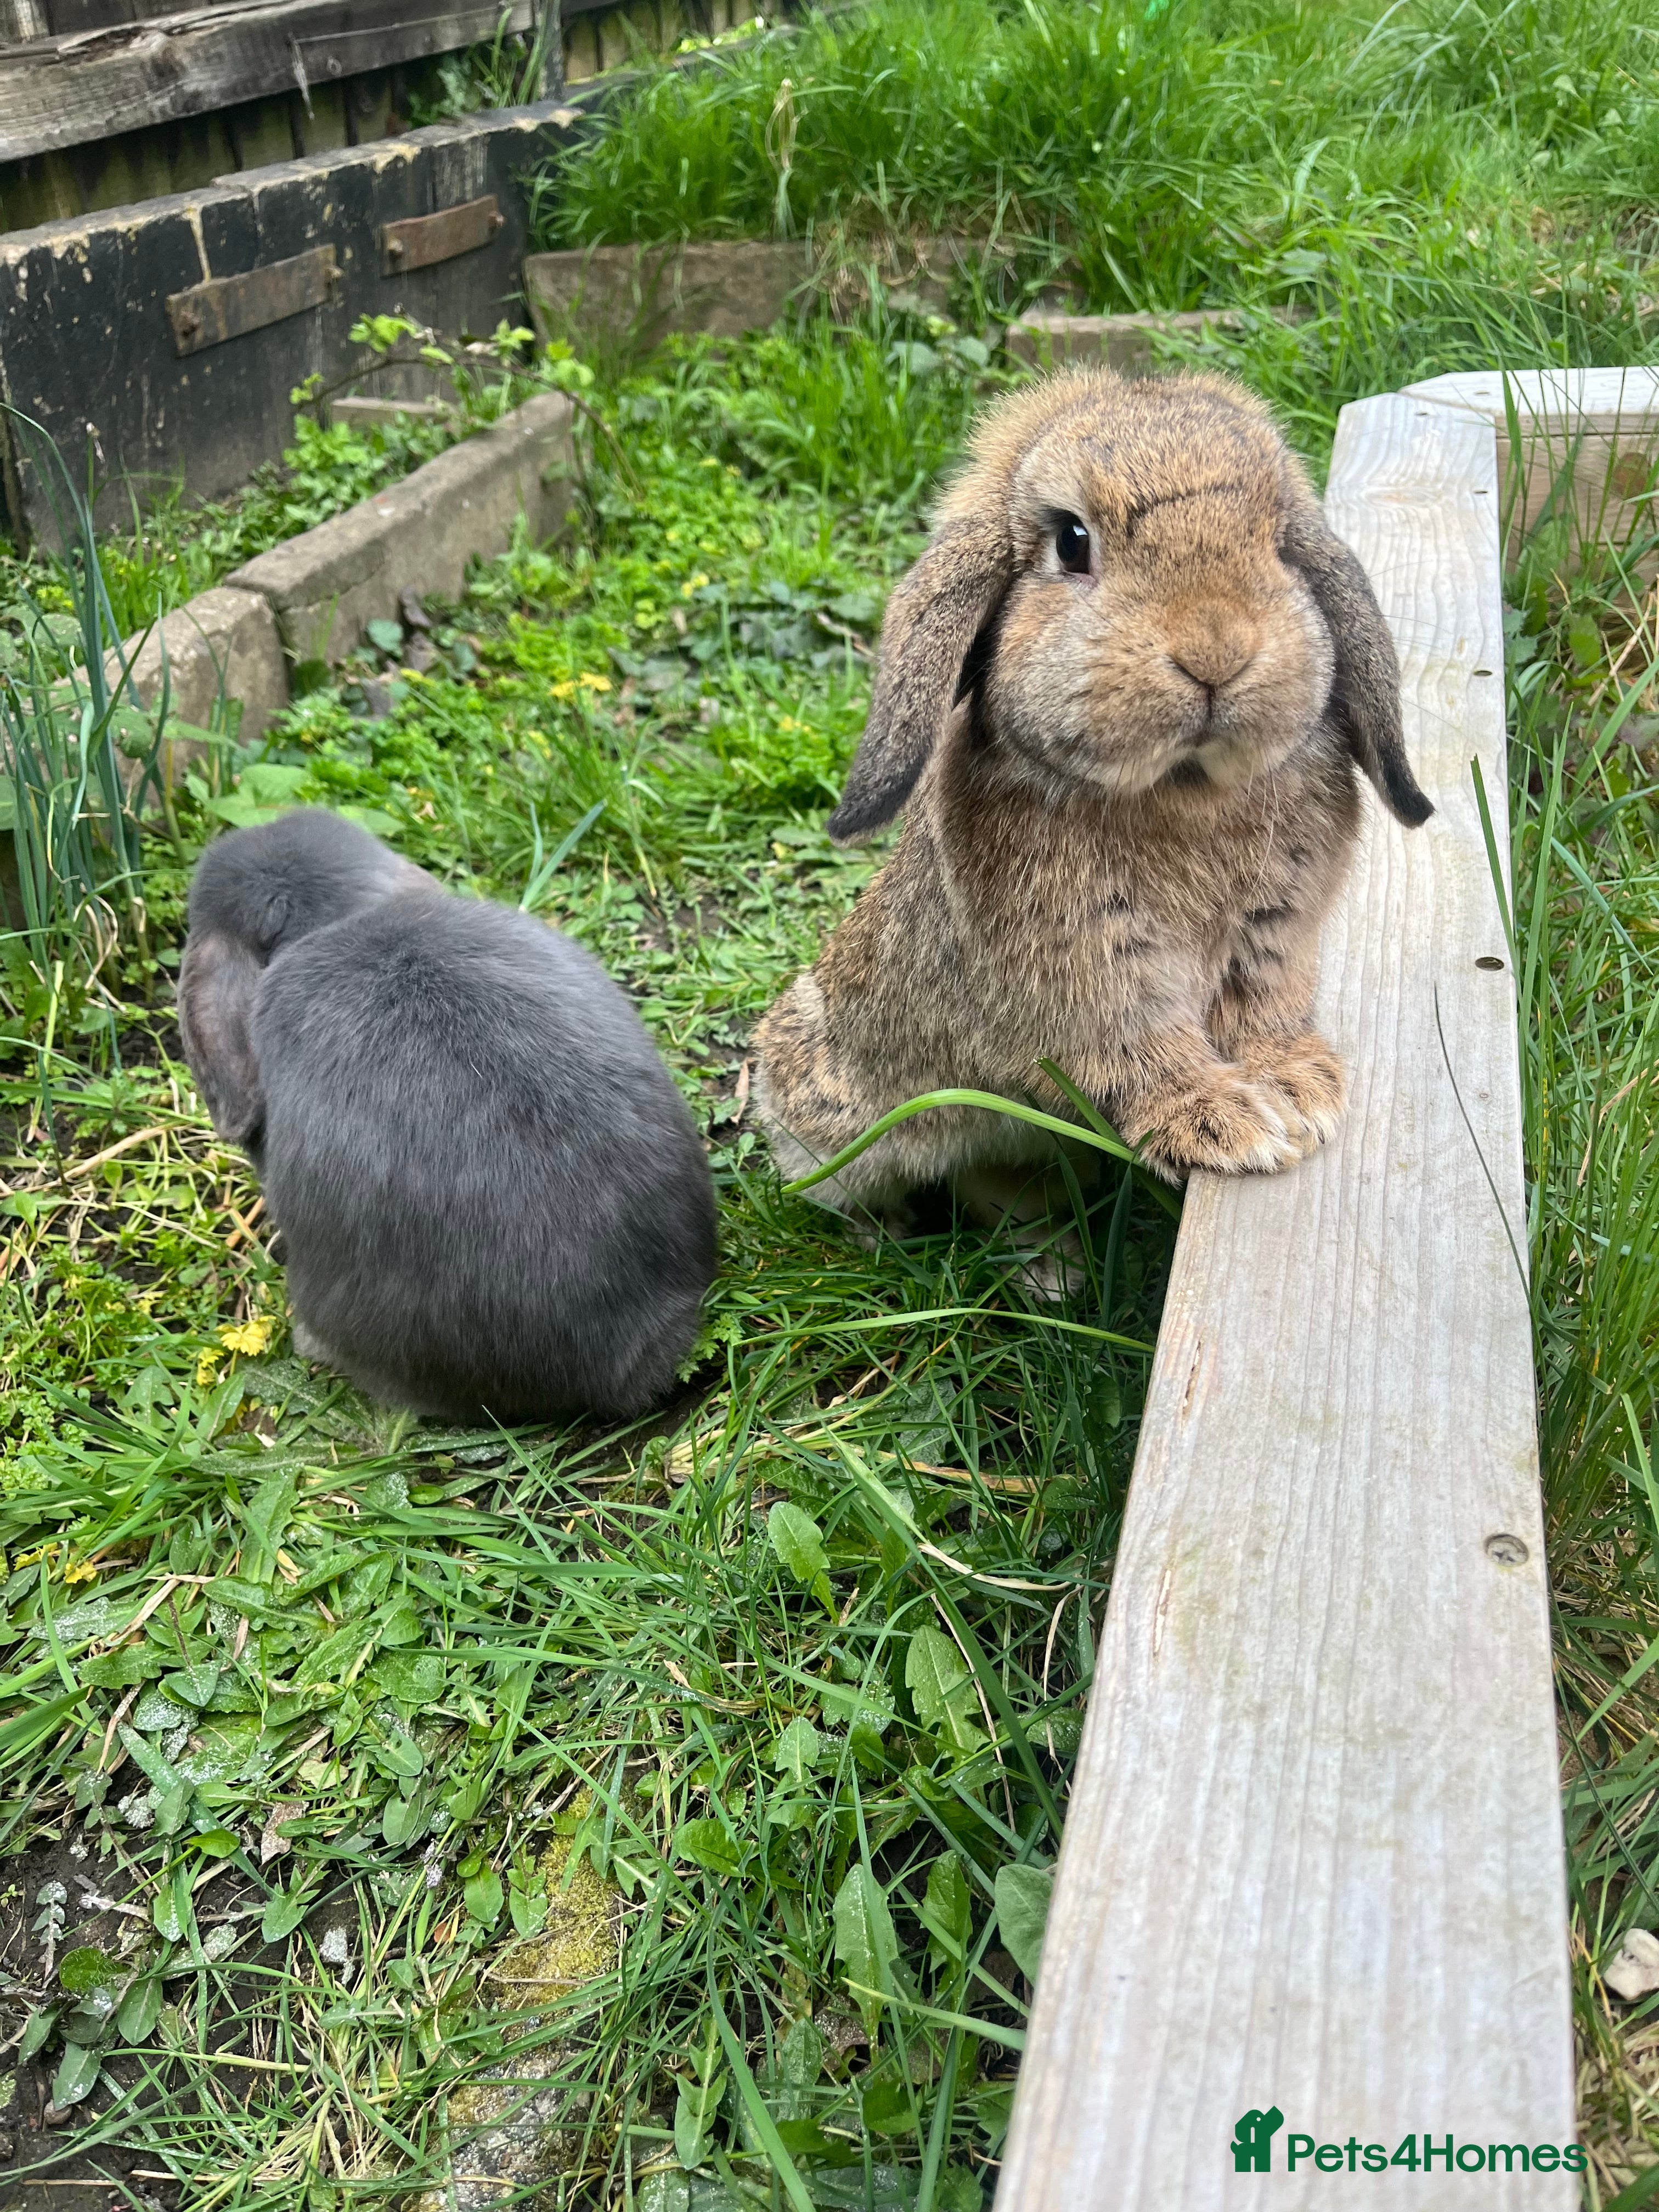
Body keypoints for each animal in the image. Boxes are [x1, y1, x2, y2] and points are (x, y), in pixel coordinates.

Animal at [753, 367, 1431, 1214]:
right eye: (1072, 541)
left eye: (1280, 544)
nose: (1216, 650)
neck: (1182, 788)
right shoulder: (1086, 962)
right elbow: (1135, 1045)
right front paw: (1224, 1125)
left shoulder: (1275, 931)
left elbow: (1263, 1008)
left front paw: (1297, 1091)